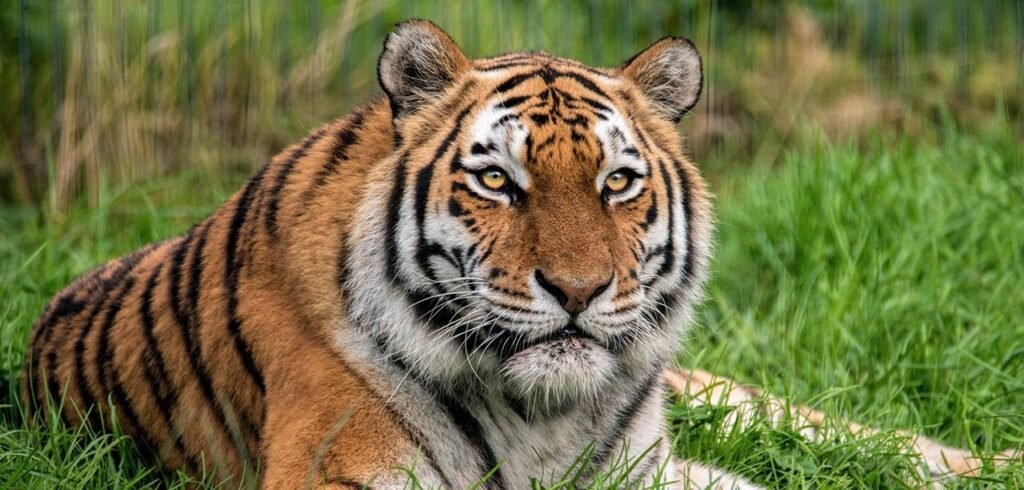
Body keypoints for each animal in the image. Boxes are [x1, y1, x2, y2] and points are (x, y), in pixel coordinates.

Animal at [22, 19, 1005, 490]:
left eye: (616, 182)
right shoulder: (330, 470)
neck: (546, 418)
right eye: (498, 181)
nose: (578, 289)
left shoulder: (648, 471)